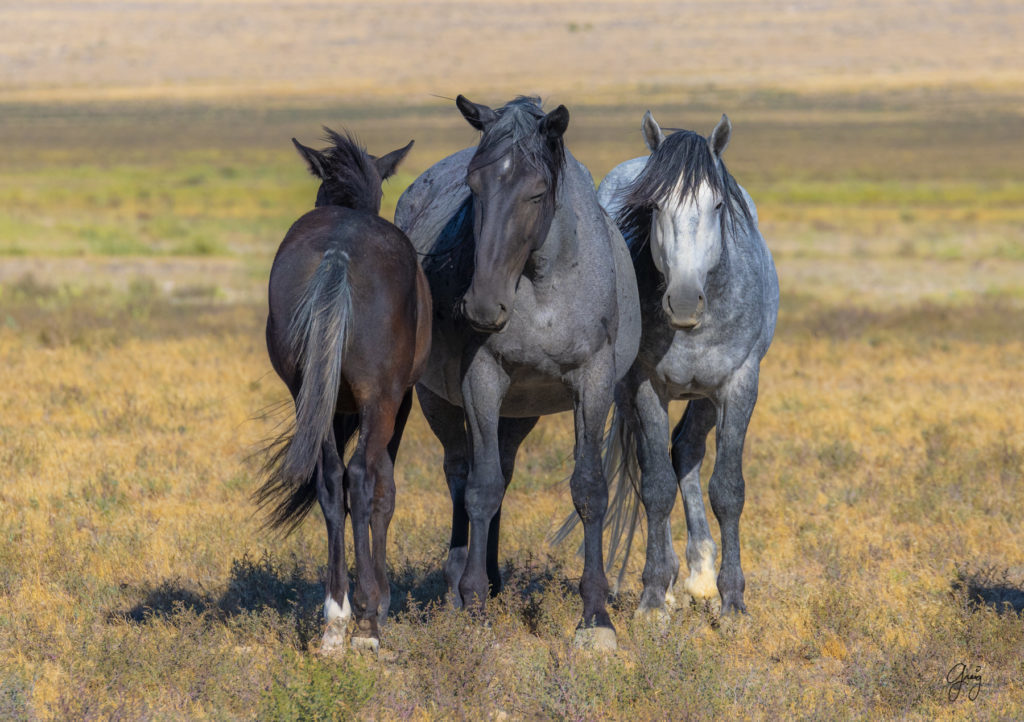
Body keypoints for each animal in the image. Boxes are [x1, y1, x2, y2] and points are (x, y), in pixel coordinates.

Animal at [260, 131, 432, 655]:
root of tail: (340, 251)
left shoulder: (330, 405)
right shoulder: (400, 401)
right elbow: (384, 493)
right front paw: (382, 602)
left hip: (309, 396)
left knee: (332, 480)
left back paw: (335, 617)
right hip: (382, 402)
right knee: (359, 477)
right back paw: (366, 621)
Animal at [393, 97, 638, 647]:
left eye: (537, 192)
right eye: (474, 185)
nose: (483, 307)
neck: (544, 283)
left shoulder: (592, 382)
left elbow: (588, 489)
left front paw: (595, 618)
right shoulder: (481, 379)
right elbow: (480, 489)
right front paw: (475, 608)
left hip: (519, 413)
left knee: (502, 470)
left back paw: (493, 580)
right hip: (438, 400)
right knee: (461, 474)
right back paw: (458, 588)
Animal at [561, 111, 774, 614]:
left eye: (718, 205)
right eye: (655, 207)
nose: (683, 300)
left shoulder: (738, 384)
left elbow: (728, 489)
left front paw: (732, 601)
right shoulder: (645, 386)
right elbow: (656, 488)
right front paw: (655, 596)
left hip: (703, 397)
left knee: (688, 451)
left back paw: (701, 574)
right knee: (656, 464)